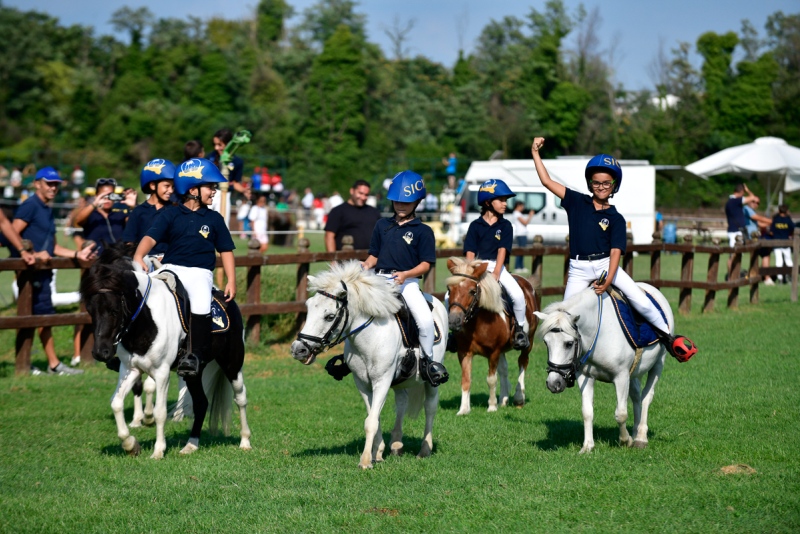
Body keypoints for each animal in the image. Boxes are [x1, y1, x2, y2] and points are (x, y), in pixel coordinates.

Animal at [80, 247, 250, 460]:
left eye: (114, 310)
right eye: (90, 310)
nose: (100, 352)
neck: (145, 321)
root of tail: (226, 298)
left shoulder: (161, 373)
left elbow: (159, 412)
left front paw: (158, 450)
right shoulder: (130, 369)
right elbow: (116, 403)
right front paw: (130, 444)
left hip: (232, 364)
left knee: (240, 398)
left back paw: (245, 441)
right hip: (193, 373)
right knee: (201, 402)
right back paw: (191, 445)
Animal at [290, 262, 450, 472]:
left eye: (330, 316)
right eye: (308, 309)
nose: (298, 350)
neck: (370, 336)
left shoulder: (381, 381)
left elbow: (371, 421)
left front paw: (366, 460)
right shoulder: (363, 384)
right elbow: (374, 417)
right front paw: (378, 453)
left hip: (431, 382)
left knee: (430, 407)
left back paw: (424, 449)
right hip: (400, 381)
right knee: (401, 403)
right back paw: (396, 445)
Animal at [446, 258, 540, 416]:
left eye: (472, 291)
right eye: (449, 289)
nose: (453, 321)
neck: (477, 322)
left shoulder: (494, 352)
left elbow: (491, 379)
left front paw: (491, 406)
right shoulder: (464, 352)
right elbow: (466, 380)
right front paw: (464, 409)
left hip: (529, 341)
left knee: (523, 362)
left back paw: (518, 398)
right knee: (504, 369)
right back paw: (503, 399)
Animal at [536, 282, 672, 454]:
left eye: (568, 343)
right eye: (546, 342)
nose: (553, 384)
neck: (598, 332)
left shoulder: (621, 377)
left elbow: (621, 413)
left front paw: (625, 440)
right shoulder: (586, 377)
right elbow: (587, 412)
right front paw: (587, 446)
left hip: (658, 364)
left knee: (647, 397)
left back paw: (640, 438)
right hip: (635, 373)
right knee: (636, 397)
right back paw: (635, 432)